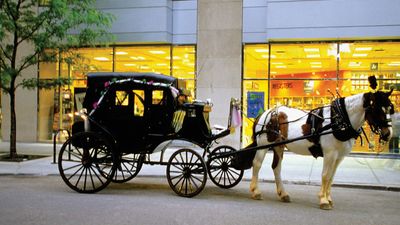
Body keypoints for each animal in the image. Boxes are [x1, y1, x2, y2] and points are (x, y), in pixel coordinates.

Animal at [250, 89, 394, 209]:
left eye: (389, 109)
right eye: (377, 109)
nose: (388, 134)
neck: (340, 120)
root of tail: (267, 113)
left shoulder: (339, 156)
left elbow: (331, 177)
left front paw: (329, 199)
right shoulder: (330, 153)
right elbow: (325, 175)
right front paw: (323, 200)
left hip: (279, 146)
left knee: (276, 168)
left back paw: (283, 194)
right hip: (263, 144)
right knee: (257, 164)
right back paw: (255, 191)